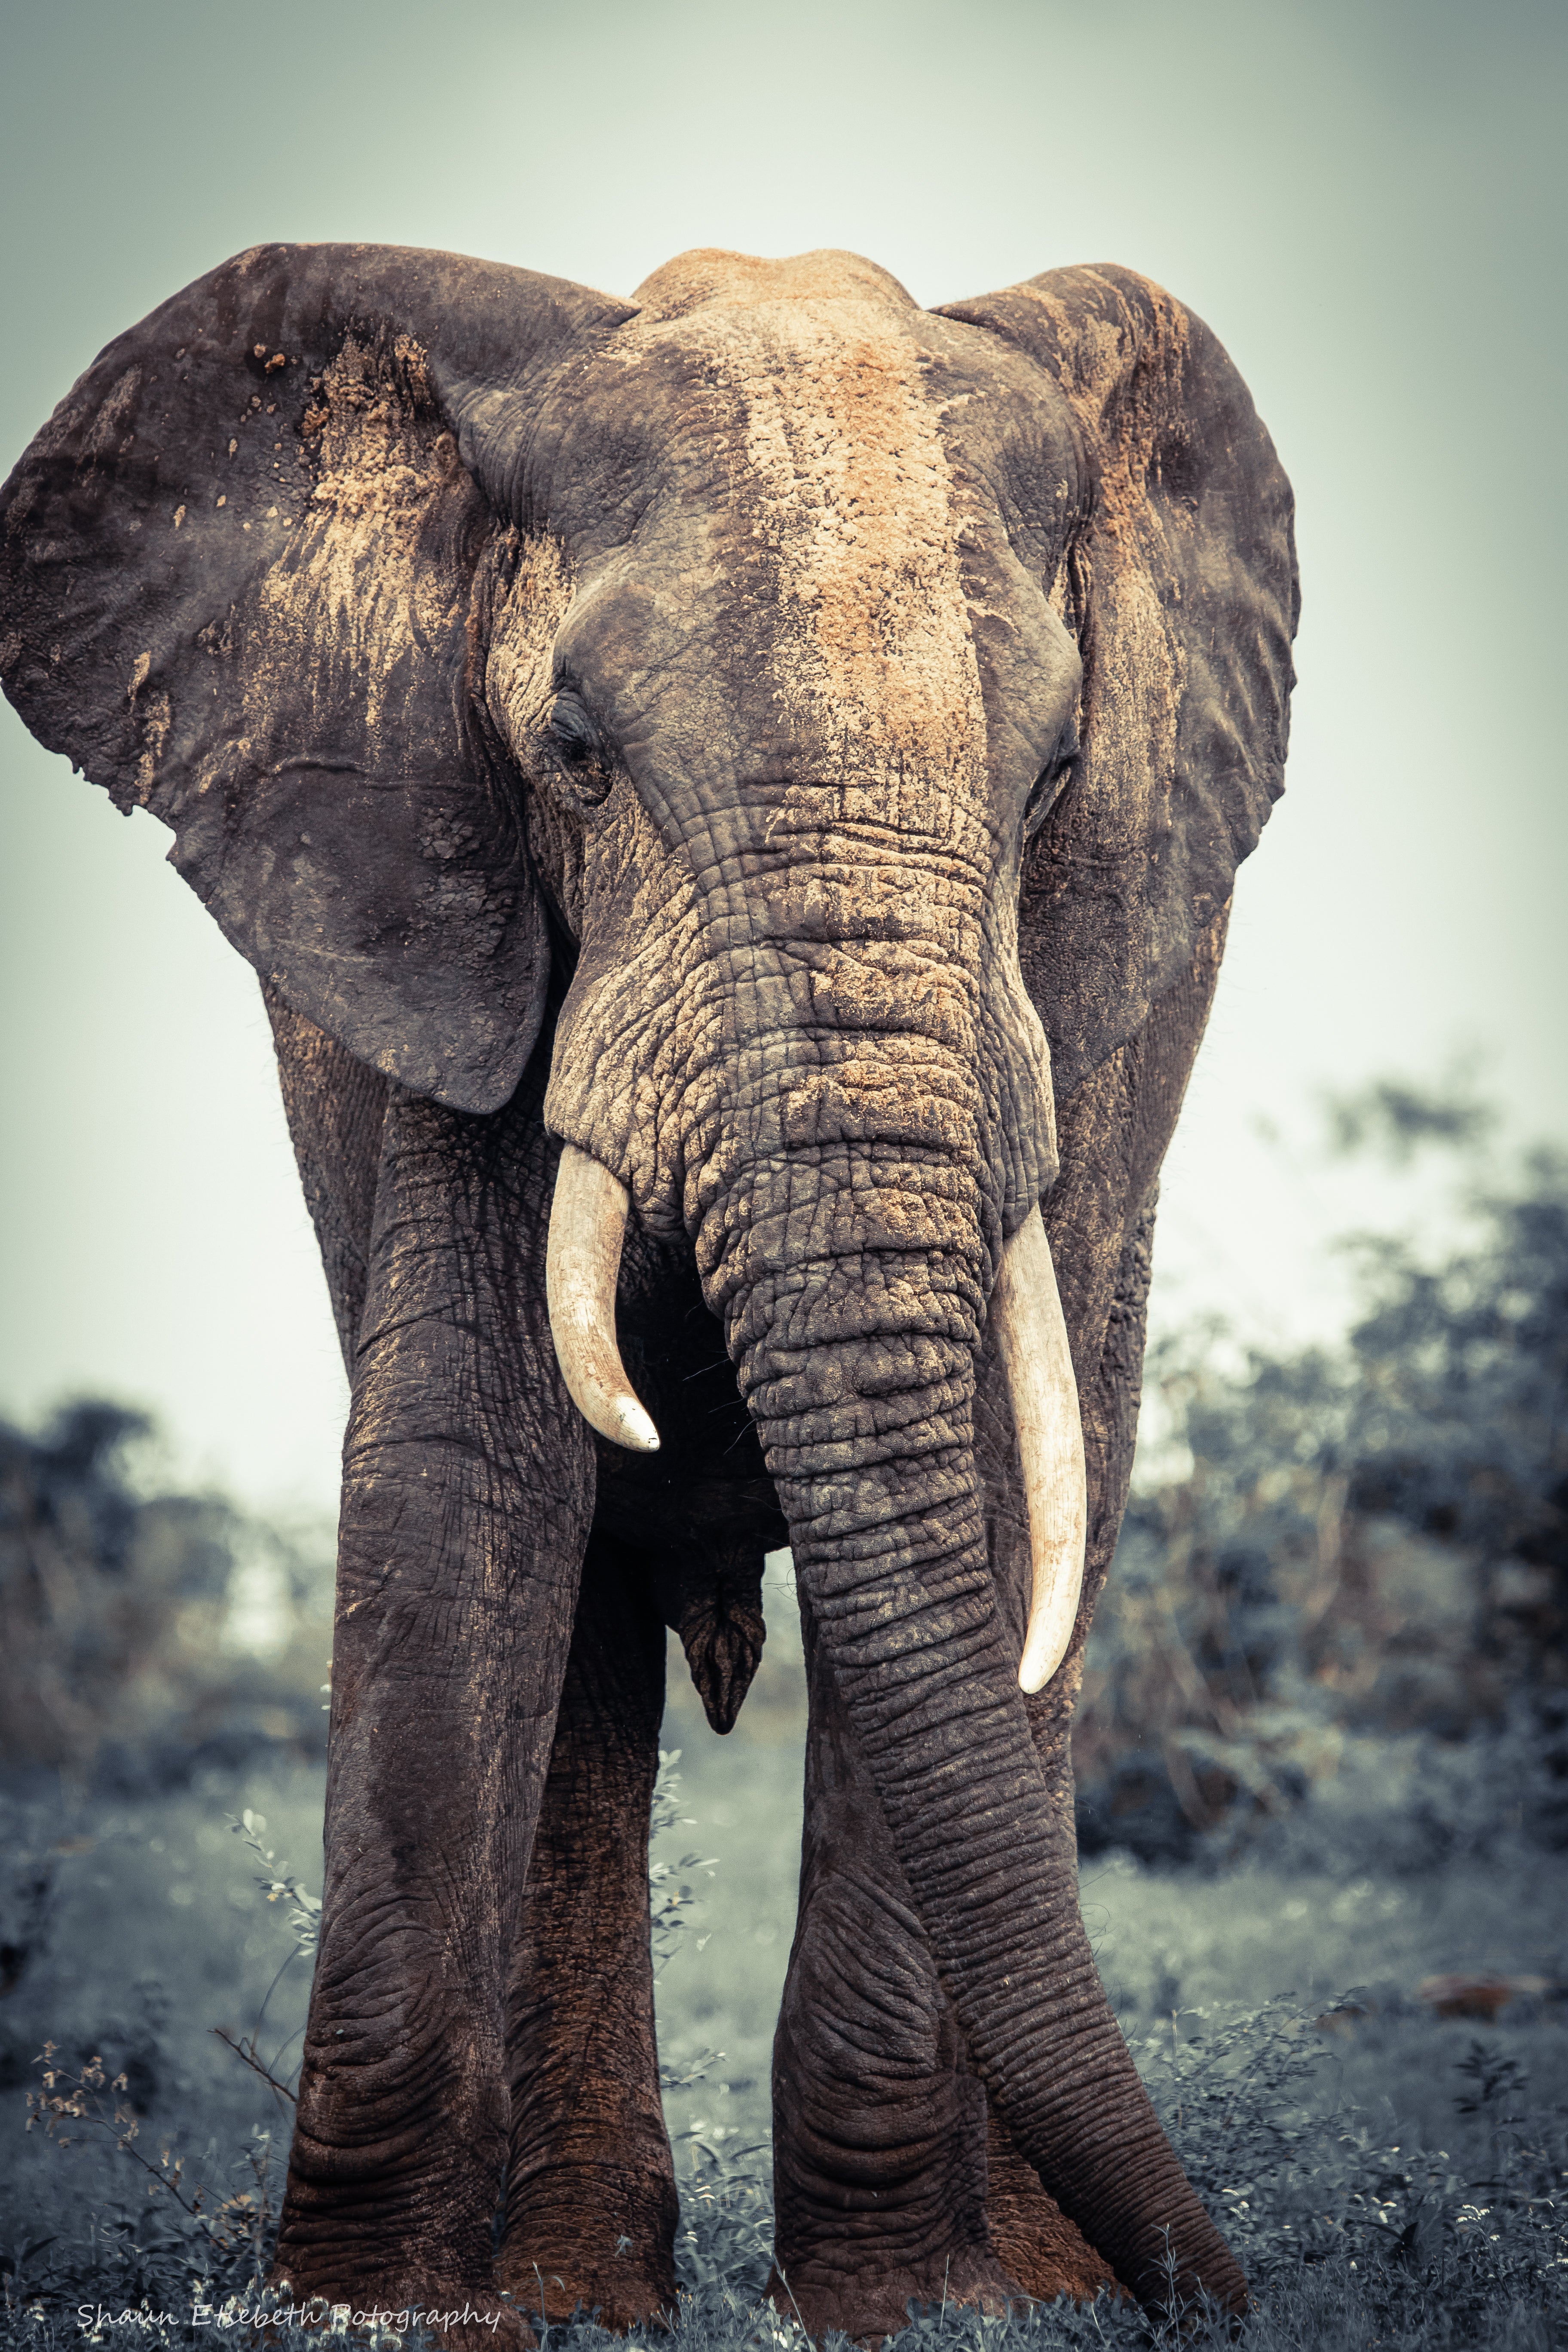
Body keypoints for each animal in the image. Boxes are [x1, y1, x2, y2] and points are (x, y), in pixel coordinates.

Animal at [0, 240, 1296, 2341]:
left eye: (1050, 790)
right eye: (576, 758)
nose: (1229, 2291)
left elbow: (997, 1488)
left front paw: (912, 2316)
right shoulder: (432, 900)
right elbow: (465, 1471)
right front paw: (367, 2310)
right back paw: (573, 2290)